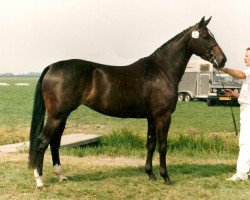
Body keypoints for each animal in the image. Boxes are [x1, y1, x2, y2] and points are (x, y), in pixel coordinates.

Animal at [28, 16, 227, 188]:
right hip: (57, 115)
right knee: (42, 141)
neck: (161, 70)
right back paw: (39, 181)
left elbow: (150, 144)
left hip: (62, 115)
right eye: (206, 36)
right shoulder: (163, 116)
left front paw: (150, 174)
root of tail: (52, 67)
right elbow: (162, 146)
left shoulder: (151, 117)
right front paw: (166, 177)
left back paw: (61, 176)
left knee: (54, 142)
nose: (222, 59)